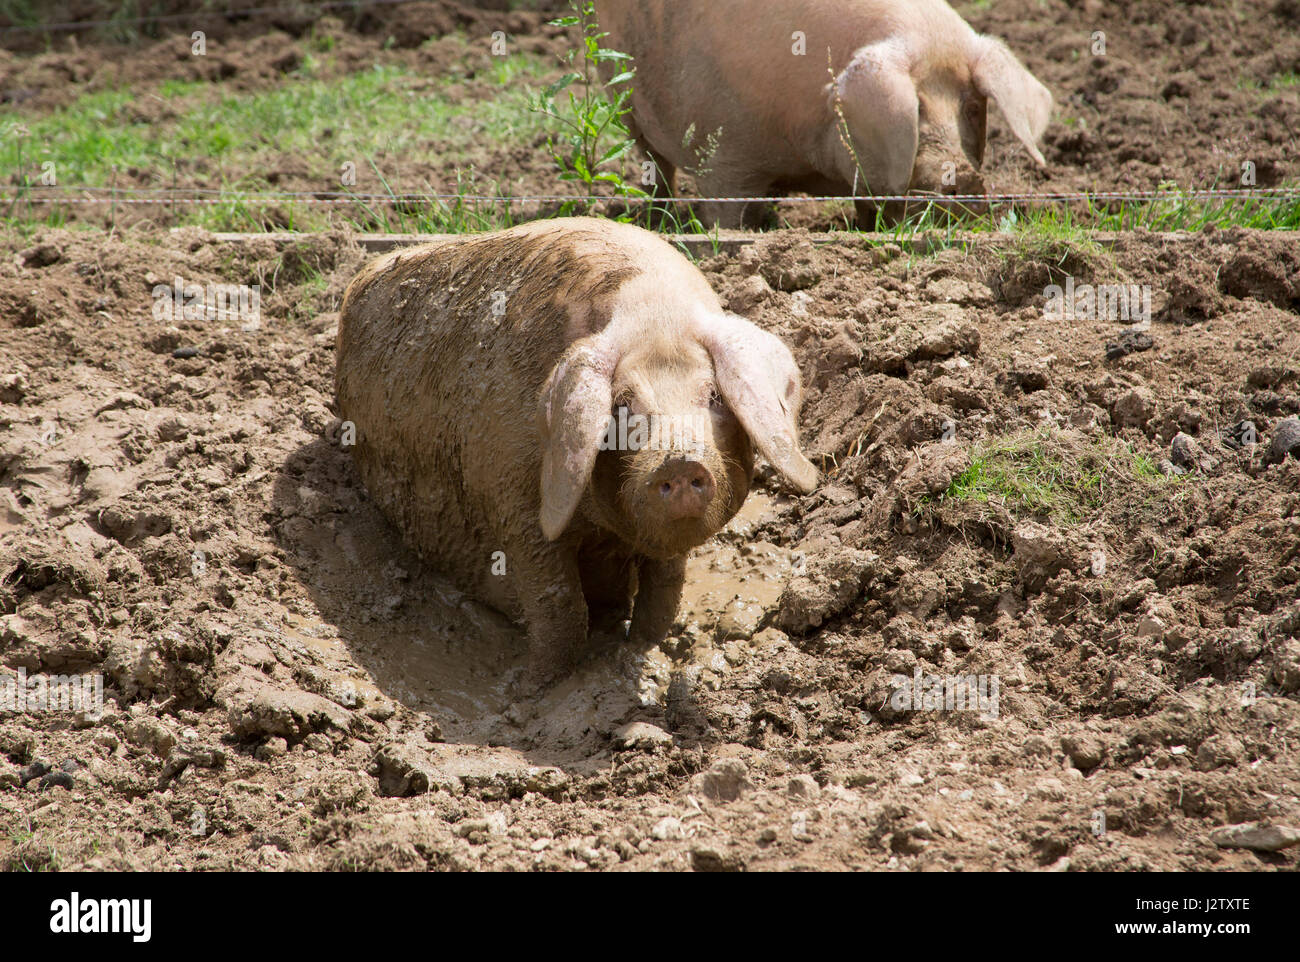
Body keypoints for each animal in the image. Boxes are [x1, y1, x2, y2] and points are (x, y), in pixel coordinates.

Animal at [335, 218, 817, 686]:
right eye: (622, 404)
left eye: (714, 396)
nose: (680, 461)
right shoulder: (513, 503)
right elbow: (557, 601)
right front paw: (537, 686)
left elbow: (664, 593)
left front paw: (641, 650)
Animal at [594, 0, 1052, 227]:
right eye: (916, 108)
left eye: (972, 107)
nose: (965, 176)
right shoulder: (721, 151)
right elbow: (726, 213)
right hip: (622, 98)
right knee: (656, 167)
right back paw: (658, 220)